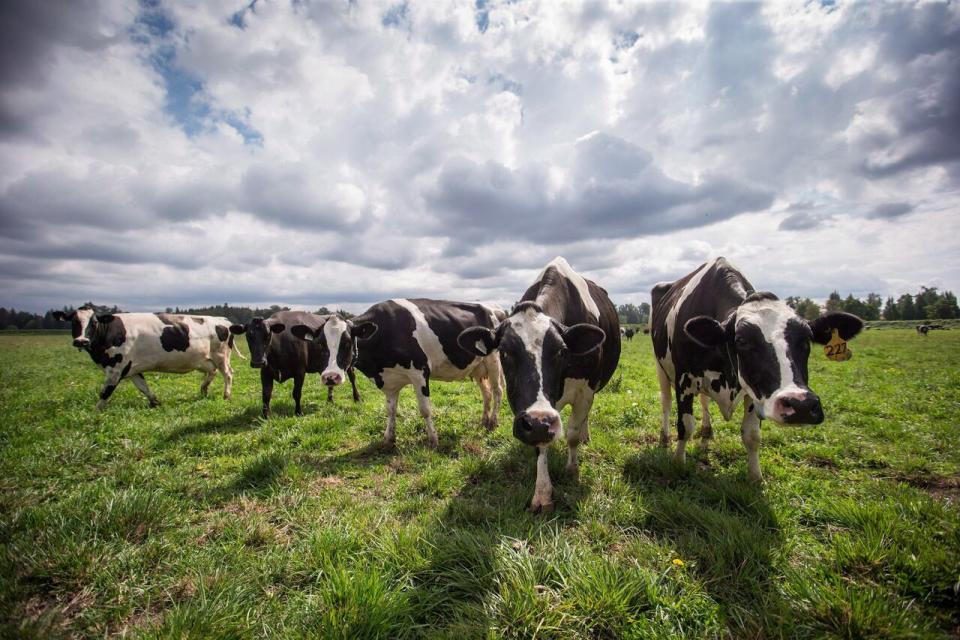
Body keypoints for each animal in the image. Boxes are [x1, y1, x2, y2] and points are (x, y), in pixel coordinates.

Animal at [53, 306, 239, 410]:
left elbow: (105, 392)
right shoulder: (132, 369)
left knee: (228, 374)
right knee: (212, 372)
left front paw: (95, 412)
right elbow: (143, 387)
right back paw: (203, 389)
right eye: (74, 322)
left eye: (94, 322)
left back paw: (226, 395)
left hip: (221, 356)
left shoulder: (116, 368)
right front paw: (155, 403)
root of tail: (223, 320)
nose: (81, 341)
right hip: (205, 359)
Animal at [228, 312, 360, 420]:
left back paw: (357, 398)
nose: (257, 362)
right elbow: (266, 394)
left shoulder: (299, 371)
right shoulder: (265, 371)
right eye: (248, 336)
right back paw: (330, 400)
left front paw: (298, 412)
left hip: (349, 362)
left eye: (268, 335)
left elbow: (296, 393)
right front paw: (266, 416)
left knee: (352, 378)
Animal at [288, 298, 506, 444]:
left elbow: (425, 409)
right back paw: (484, 420)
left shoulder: (420, 372)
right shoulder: (390, 380)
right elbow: (390, 410)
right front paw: (389, 437)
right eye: (319, 344)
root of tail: (496, 308)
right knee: (486, 393)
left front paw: (433, 439)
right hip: (478, 366)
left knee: (497, 391)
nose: (330, 377)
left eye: (347, 343)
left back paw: (493, 422)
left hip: (493, 360)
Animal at [460, 258, 624, 512]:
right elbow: (540, 446)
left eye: (560, 350)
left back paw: (585, 436)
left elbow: (572, 433)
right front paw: (543, 495)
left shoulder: (585, 391)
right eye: (504, 352)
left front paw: (572, 470)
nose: (538, 422)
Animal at [648, 258, 868, 482]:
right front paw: (678, 464)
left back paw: (707, 431)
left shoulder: (754, 391)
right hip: (661, 368)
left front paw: (755, 477)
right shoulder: (684, 381)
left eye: (806, 340)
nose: (801, 405)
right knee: (666, 402)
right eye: (742, 341)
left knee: (704, 400)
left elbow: (752, 435)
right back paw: (664, 438)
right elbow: (685, 426)